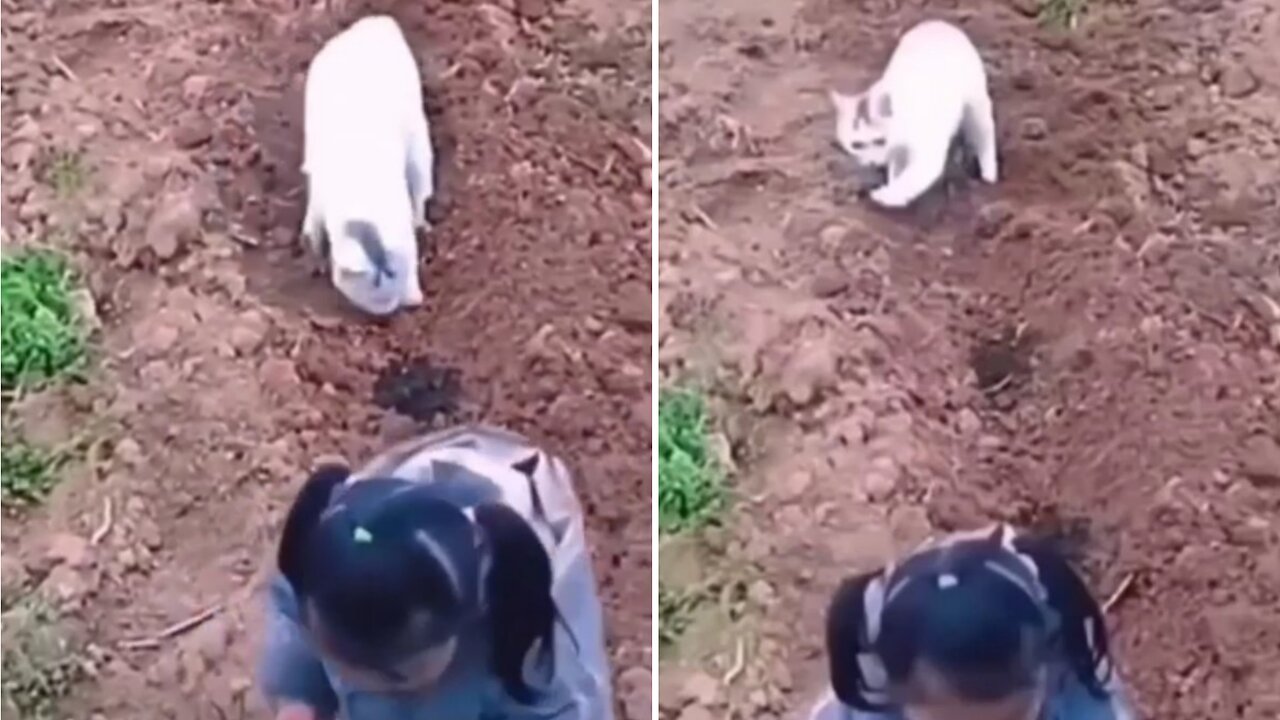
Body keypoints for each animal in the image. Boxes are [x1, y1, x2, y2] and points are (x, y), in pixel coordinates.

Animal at [299, 14, 435, 313]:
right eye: (373, 296)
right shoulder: (318, 197)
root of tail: (378, 23)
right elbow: (313, 226)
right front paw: (314, 257)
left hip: (419, 133)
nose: (411, 304)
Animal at [829, 18, 998, 207]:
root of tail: (937, 23)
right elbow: (897, 169)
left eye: (880, 141)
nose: (873, 163)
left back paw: (989, 171)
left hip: (976, 104)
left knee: (984, 134)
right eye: (856, 145)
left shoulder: (927, 150)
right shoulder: (897, 152)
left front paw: (889, 195)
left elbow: (912, 179)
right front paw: (893, 181)